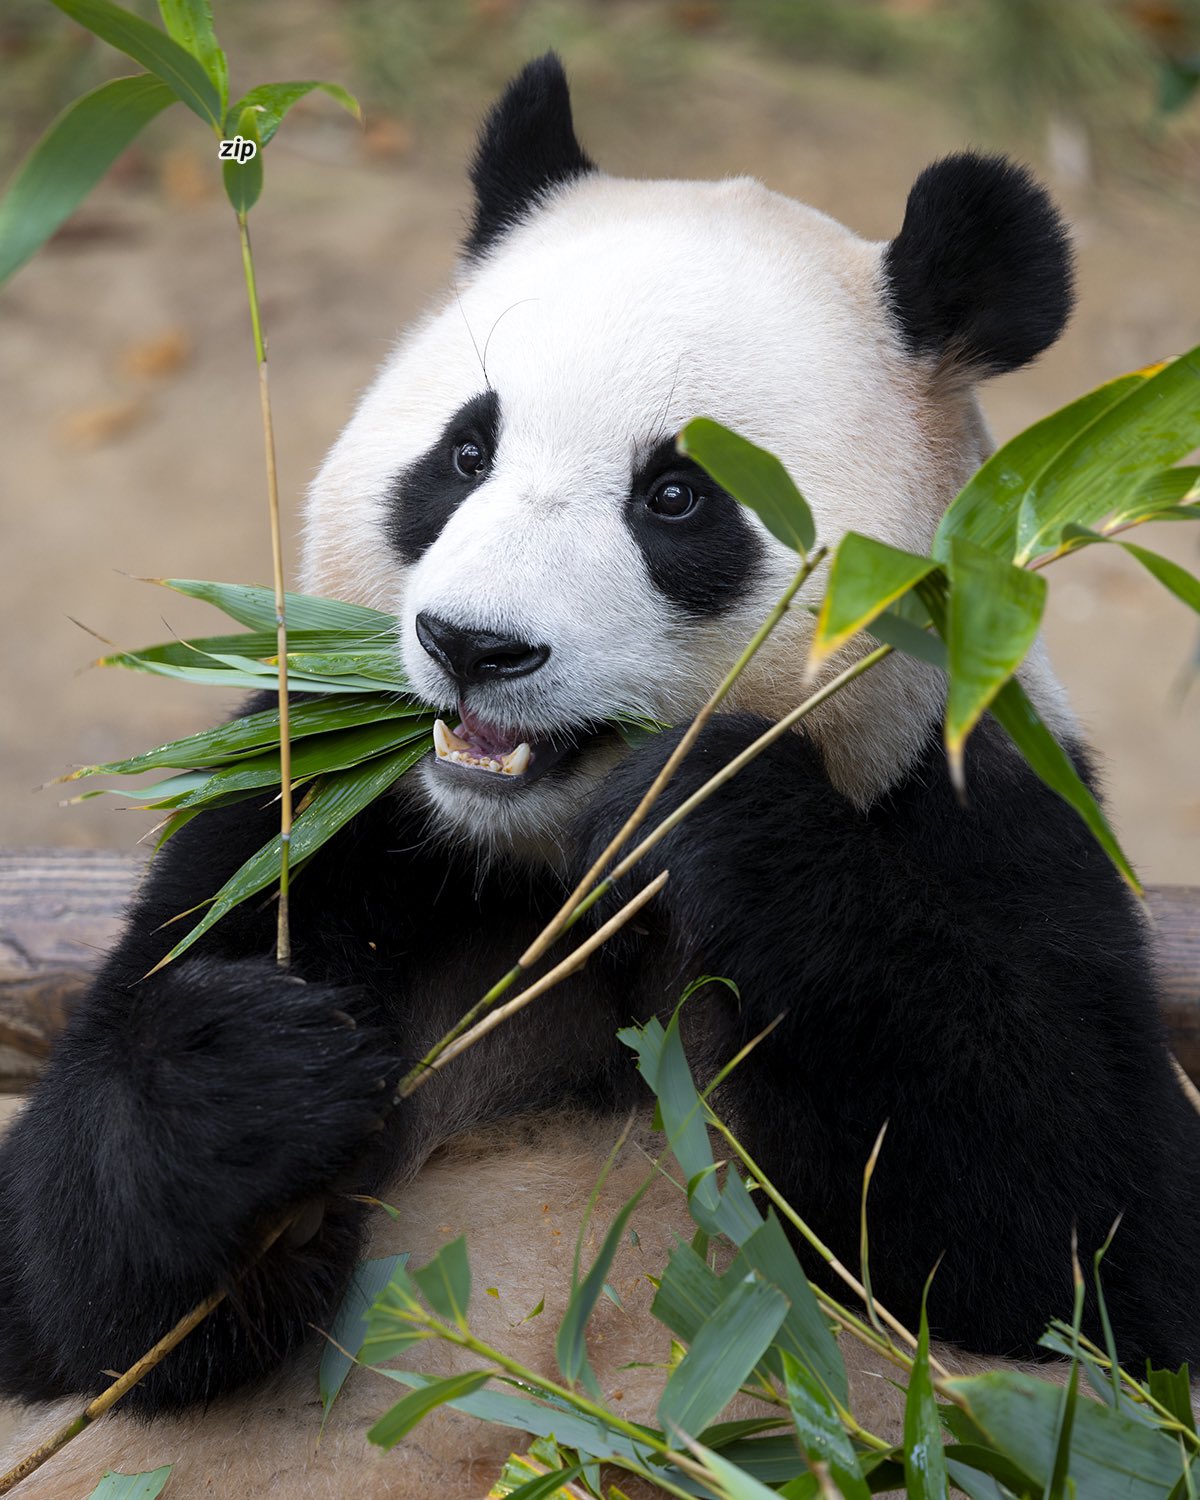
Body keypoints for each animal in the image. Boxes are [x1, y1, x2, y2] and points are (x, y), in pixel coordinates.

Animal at [2, 52, 1200, 1494]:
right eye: (464, 454)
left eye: (676, 496)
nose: (474, 647)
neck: (544, 864)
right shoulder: (319, 814)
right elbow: (72, 1305)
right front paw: (248, 1075)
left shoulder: (982, 793)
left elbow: (1077, 1263)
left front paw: (722, 822)